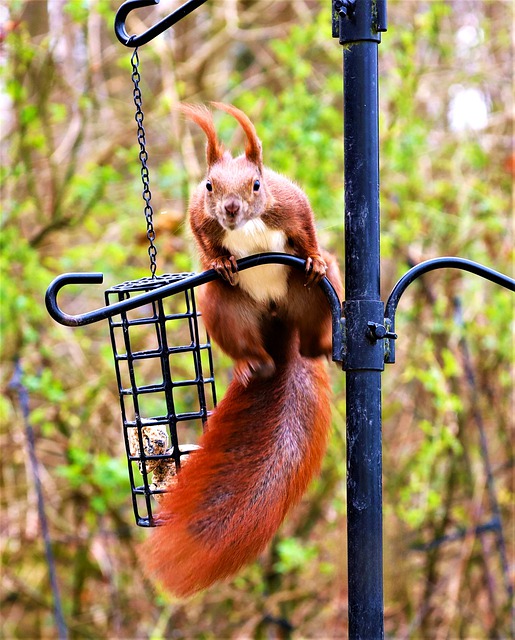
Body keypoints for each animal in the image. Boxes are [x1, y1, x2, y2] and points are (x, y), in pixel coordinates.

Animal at [141, 102, 342, 596]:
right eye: (209, 186)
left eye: (256, 183)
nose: (231, 209)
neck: (247, 225)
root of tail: (278, 323)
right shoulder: (200, 216)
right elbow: (202, 237)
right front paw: (220, 259)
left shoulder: (291, 204)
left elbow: (307, 229)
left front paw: (312, 255)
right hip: (222, 307)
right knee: (253, 347)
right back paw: (255, 362)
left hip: (314, 298)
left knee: (314, 332)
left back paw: (324, 337)